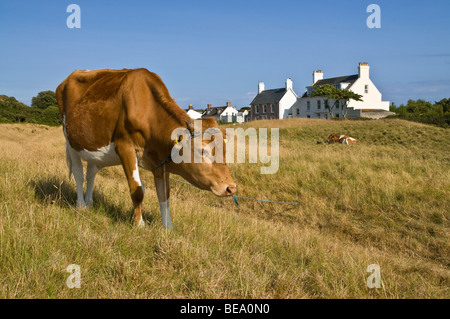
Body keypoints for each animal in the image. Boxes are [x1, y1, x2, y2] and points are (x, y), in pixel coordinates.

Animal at [56, 69, 237, 230]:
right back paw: (81, 205)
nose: (231, 188)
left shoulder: (160, 160)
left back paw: (90, 202)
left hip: (94, 149)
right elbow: (137, 190)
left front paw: (168, 228)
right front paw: (139, 224)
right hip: (70, 142)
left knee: (91, 173)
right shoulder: (125, 148)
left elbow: (164, 195)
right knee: (78, 174)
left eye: (225, 151)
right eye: (202, 151)